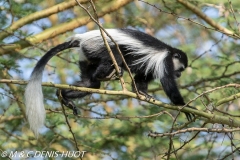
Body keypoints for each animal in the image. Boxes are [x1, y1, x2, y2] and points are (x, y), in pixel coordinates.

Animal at [24, 28, 193, 136]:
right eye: (181, 68)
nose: (179, 74)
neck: (169, 52)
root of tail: (82, 38)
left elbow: (142, 77)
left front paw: (143, 93)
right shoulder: (164, 61)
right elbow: (167, 82)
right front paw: (184, 107)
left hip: (86, 56)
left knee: (90, 84)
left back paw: (64, 96)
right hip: (98, 47)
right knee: (115, 54)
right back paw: (105, 74)